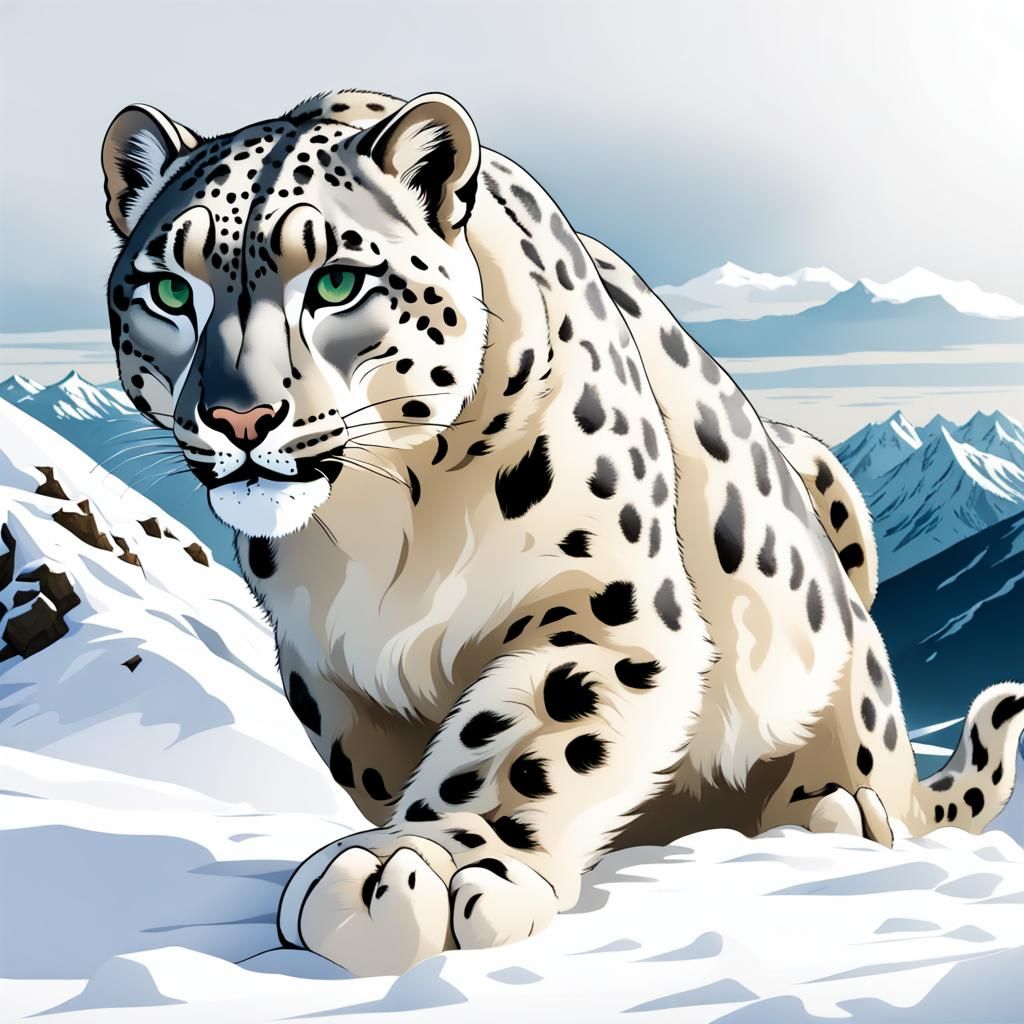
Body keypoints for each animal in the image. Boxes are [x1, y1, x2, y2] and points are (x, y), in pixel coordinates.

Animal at [101, 89, 1024, 977]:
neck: (376, 526)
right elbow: (383, 764)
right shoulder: (323, 669)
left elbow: (513, 739)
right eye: (170, 291)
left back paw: (836, 810)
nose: (238, 418)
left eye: (335, 283)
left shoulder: (608, 607)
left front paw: (418, 867)